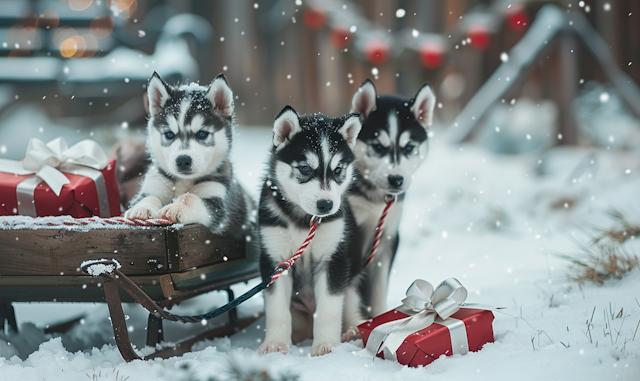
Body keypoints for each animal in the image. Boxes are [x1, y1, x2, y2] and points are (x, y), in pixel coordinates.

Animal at [124, 72, 254, 238]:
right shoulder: (154, 183)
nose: (183, 160)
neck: (183, 182)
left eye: (202, 134)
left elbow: (190, 197)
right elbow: (149, 196)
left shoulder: (217, 200)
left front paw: (176, 207)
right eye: (169, 134)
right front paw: (142, 208)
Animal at [258, 105, 362, 354]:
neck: (304, 222)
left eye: (338, 170)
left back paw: (353, 332)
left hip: (351, 284)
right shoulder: (275, 260)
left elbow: (329, 310)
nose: (326, 205)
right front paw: (275, 345)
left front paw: (327, 347)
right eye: (305, 168)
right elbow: (277, 310)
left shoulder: (333, 258)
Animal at [344, 79, 436, 332]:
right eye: (377, 146)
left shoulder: (386, 239)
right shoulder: (350, 238)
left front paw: (379, 320)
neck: (376, 200)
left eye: (409, 148)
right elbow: (347, 289)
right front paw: (353, 325)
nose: (396, 179)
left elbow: (379, 290)